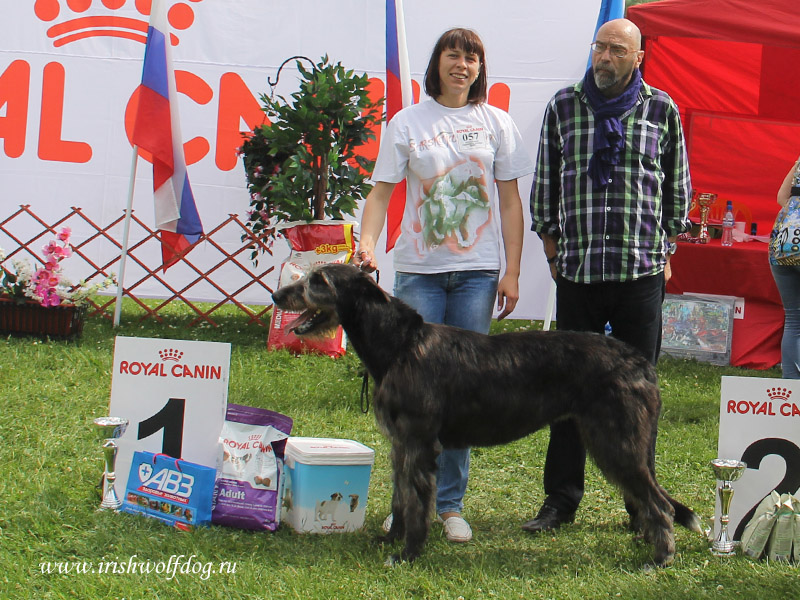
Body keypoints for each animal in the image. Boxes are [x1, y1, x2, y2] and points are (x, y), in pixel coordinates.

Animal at [274, 264, 700, 568]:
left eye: (319, 281)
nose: (277, 294)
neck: (400, 345)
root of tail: (641, 362)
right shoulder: (400, 445)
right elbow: (400, 499)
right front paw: (390, 540)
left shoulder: (419, 444)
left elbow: (417, 503)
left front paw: (408, 554)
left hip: (617, 441)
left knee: (659, 504)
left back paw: (659, 558)